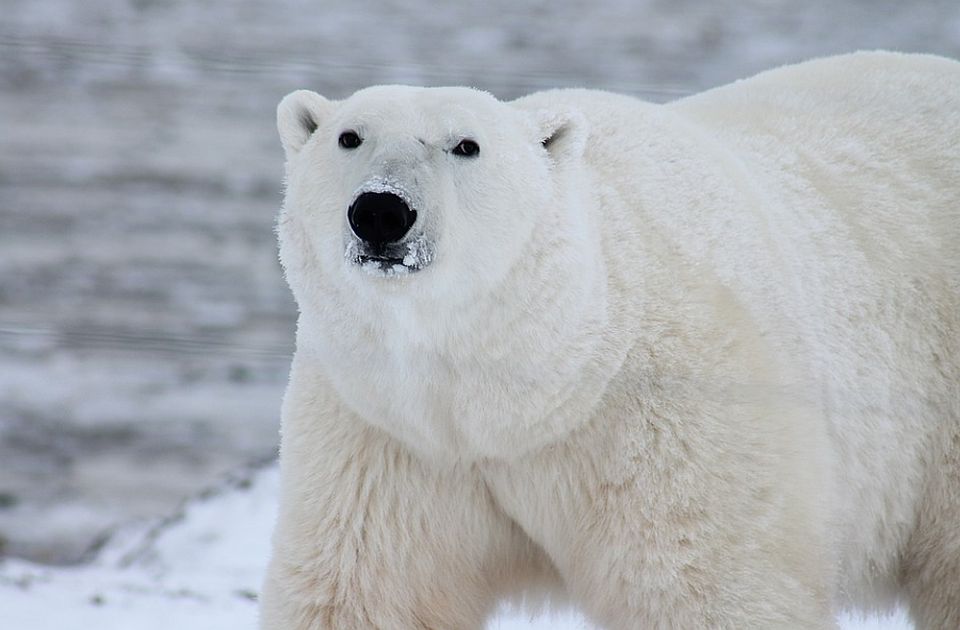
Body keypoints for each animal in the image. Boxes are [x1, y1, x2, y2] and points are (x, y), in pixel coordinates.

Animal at [260, 54, 960, 630]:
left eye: (466, 145)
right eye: (349, 136)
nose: (381, 211)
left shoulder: (671, 421)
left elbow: (709, 588)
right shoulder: (388, 435)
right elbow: (366, 591)